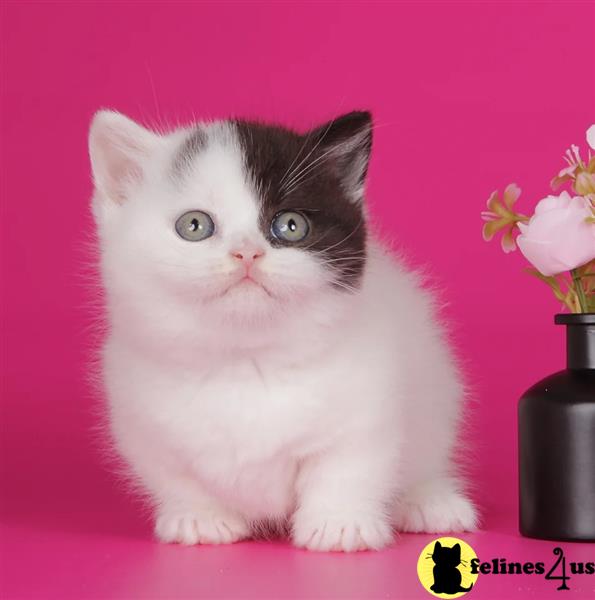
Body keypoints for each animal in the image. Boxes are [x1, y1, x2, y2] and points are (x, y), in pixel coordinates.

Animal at [89, 109, 480, 552]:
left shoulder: (368, 407)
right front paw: (202, 518)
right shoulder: (142, 421)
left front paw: (338, 525)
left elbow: (348, 466)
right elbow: (175, 475)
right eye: (194, 225)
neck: (246, 363)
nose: (246, 252)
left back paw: (429, 502)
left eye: (291, 226)